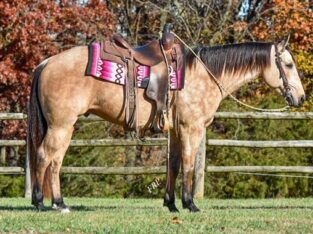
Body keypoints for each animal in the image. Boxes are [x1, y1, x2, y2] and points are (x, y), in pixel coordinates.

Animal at [28, 34, 304, 212]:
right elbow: (189, 165)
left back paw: (60, 203)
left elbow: (173, 165)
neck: (203, 74)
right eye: (289, 64)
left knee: (55, 162)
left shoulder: (175, 131)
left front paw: (171, 204)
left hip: (65, 127)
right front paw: (190, 204)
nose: (300, 98)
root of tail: (46, 63)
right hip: (61, 126)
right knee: (44, 157)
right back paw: (42, 202)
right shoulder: (192, 128)